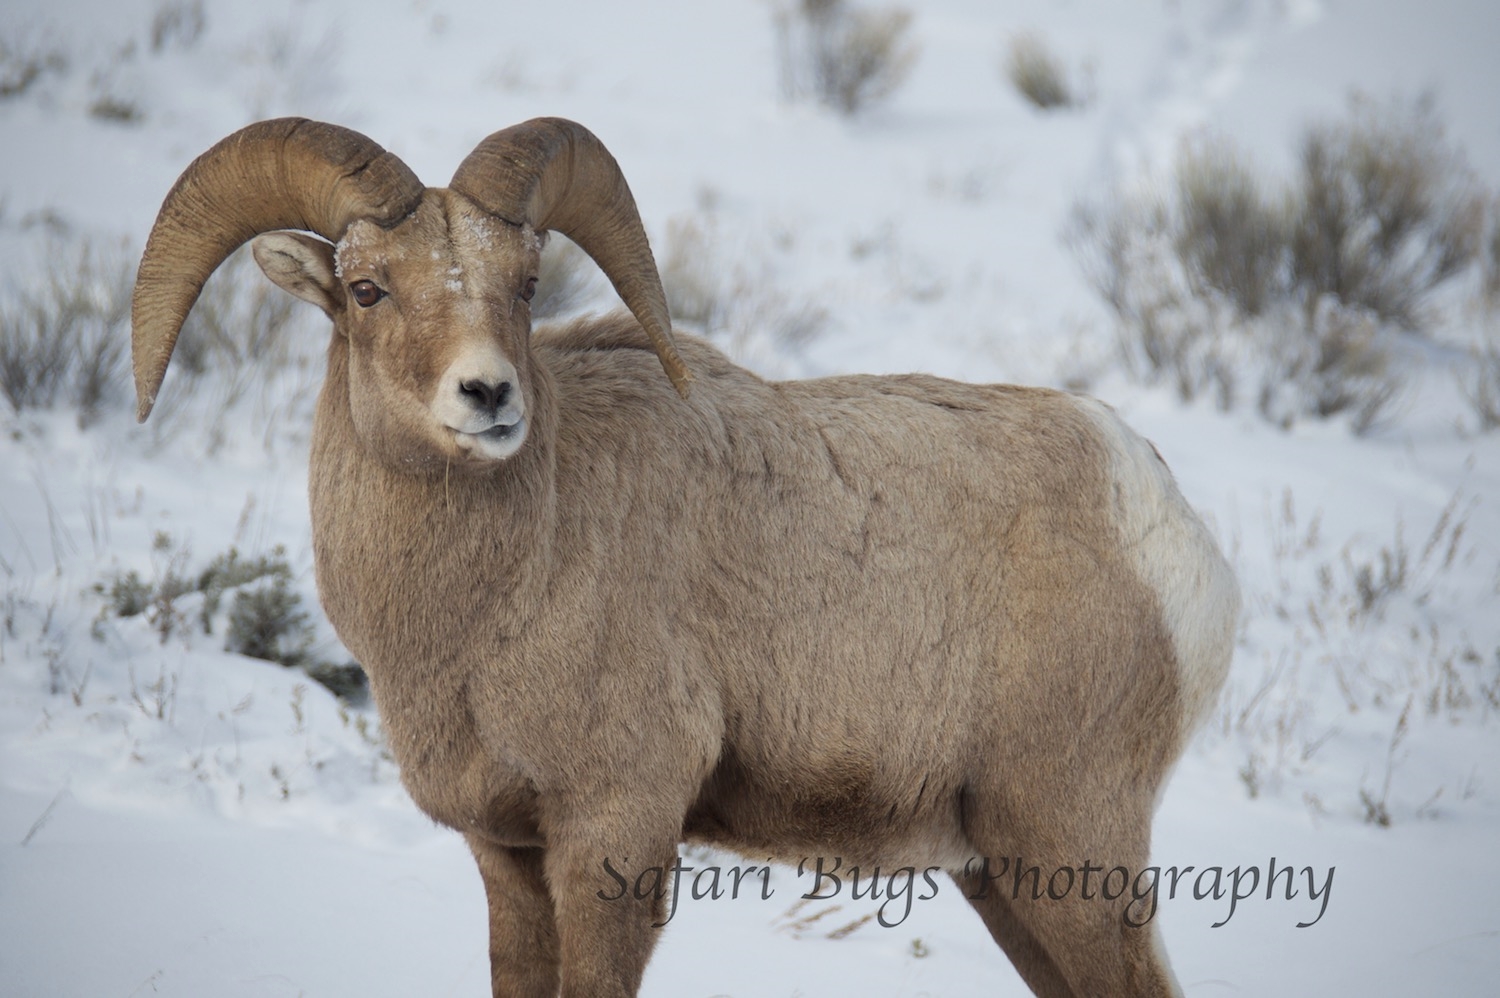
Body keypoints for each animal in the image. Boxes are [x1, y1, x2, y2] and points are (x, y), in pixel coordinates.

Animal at [132, 118, 1230, 996]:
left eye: (525, 286)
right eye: (366, 289)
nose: (488, 396)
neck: (492, 605)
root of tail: (1166, 523)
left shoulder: (615, 832)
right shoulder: (508, 854)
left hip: (1069, 857)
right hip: (1001, 876)